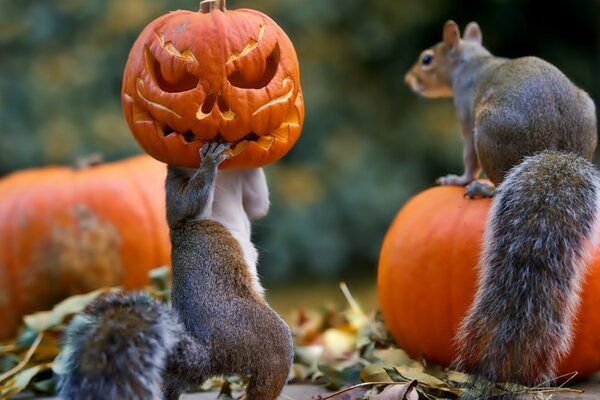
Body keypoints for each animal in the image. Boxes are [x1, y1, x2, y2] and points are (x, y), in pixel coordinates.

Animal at [404, 20, 600, 392]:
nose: (409, 80)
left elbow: (467, 157)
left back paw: (483, 187)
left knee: (494, 177)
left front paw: (458, 178)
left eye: (426, 59)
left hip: (489, 130)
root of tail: (558, 150)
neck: (473, 62)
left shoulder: (466, 114)